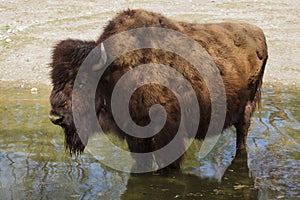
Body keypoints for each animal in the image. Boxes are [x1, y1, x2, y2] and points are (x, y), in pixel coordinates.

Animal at [48, 9, 268, 171]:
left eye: (81, 82)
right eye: (54, 80)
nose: (55, 117)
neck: (115, 72)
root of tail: (259, 34)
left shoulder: (169, 136)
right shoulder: (136, 138)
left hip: (246, 109)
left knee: (242, 135)